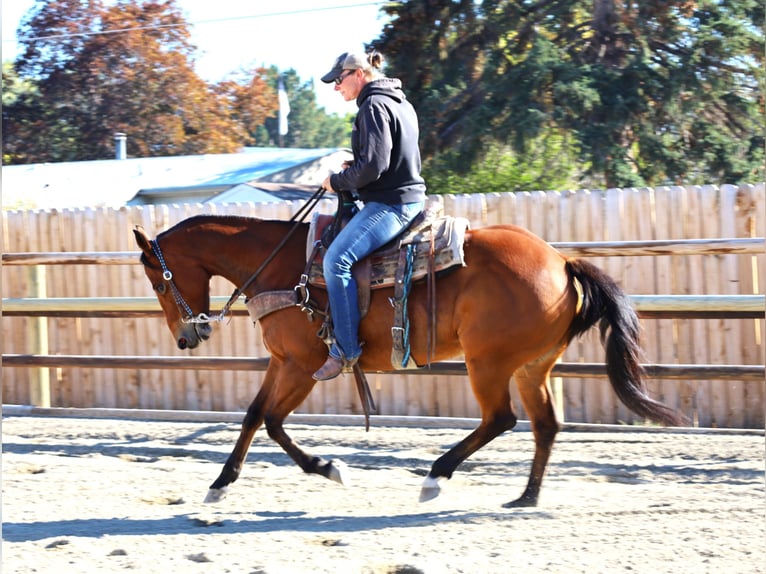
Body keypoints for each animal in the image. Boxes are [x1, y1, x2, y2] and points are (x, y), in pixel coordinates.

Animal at [133, 213, 684, 507]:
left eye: (159, 281)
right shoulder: (282, 361)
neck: (284, 267)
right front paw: (225, 482)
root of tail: (561, 261)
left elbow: (270, 420)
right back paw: (526, 497)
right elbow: (255, 417)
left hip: (488, 362)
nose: (188, 335)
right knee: (544, 425)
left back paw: (436, 477)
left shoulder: (303, 365)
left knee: (500, 419)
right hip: (533, 366)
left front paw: (324, 468)